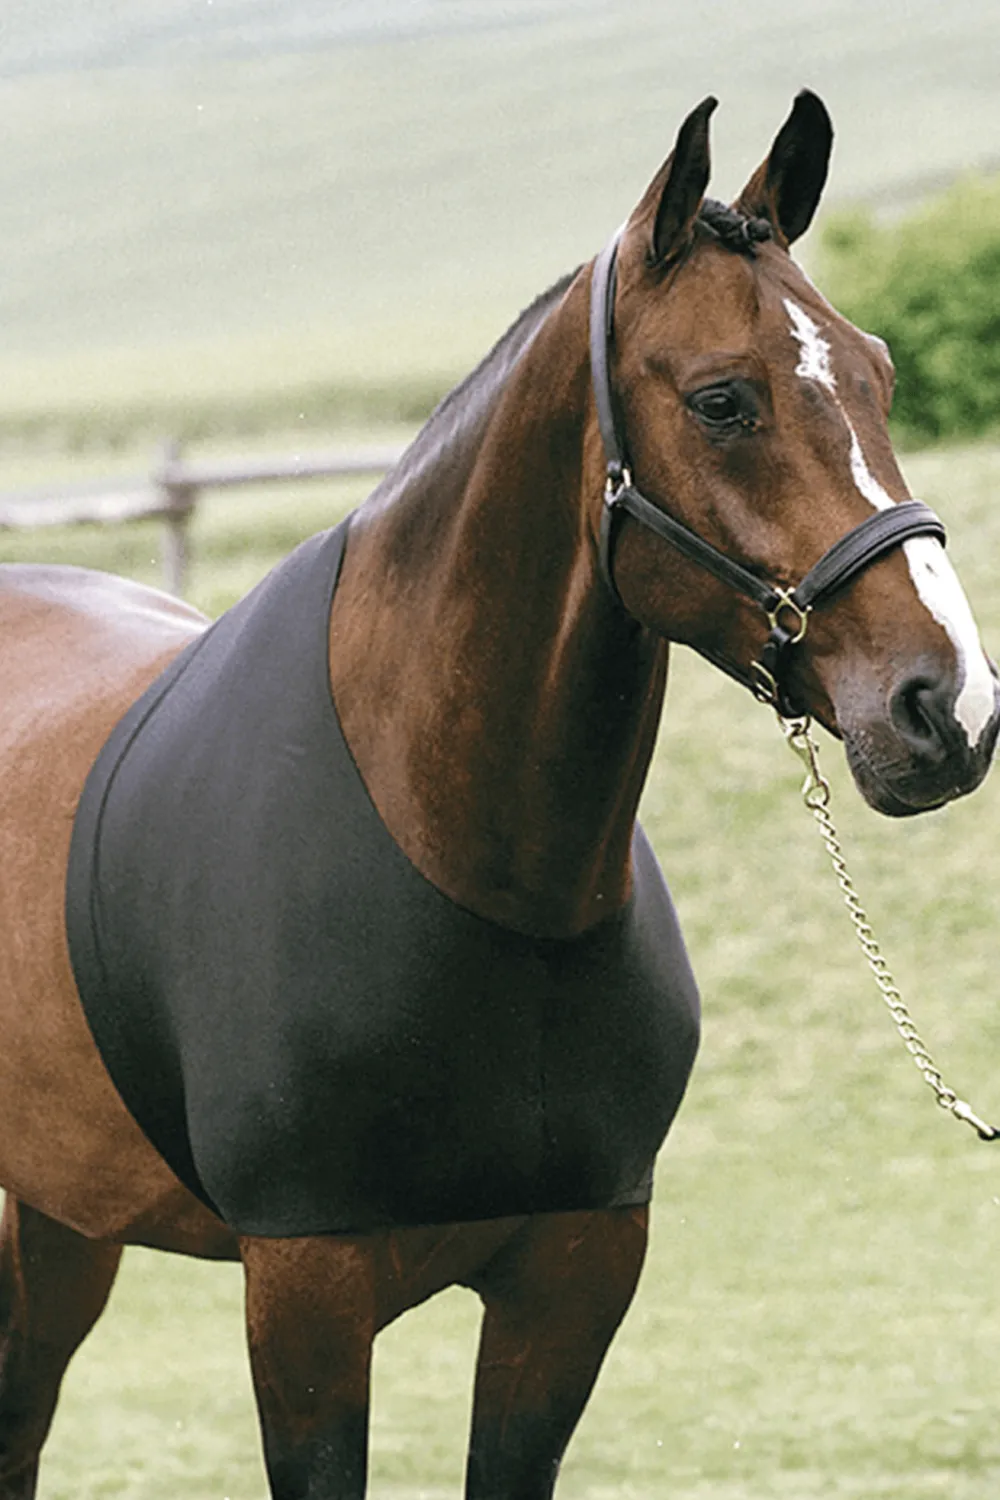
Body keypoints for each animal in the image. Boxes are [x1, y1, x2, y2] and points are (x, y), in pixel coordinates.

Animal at [1, 90, 997, 1499]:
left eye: (880, 375)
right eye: (722, 400)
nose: (946, 708)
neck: (473, 867)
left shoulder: (573, 1282)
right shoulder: (303, 1293)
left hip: (62, 1221)